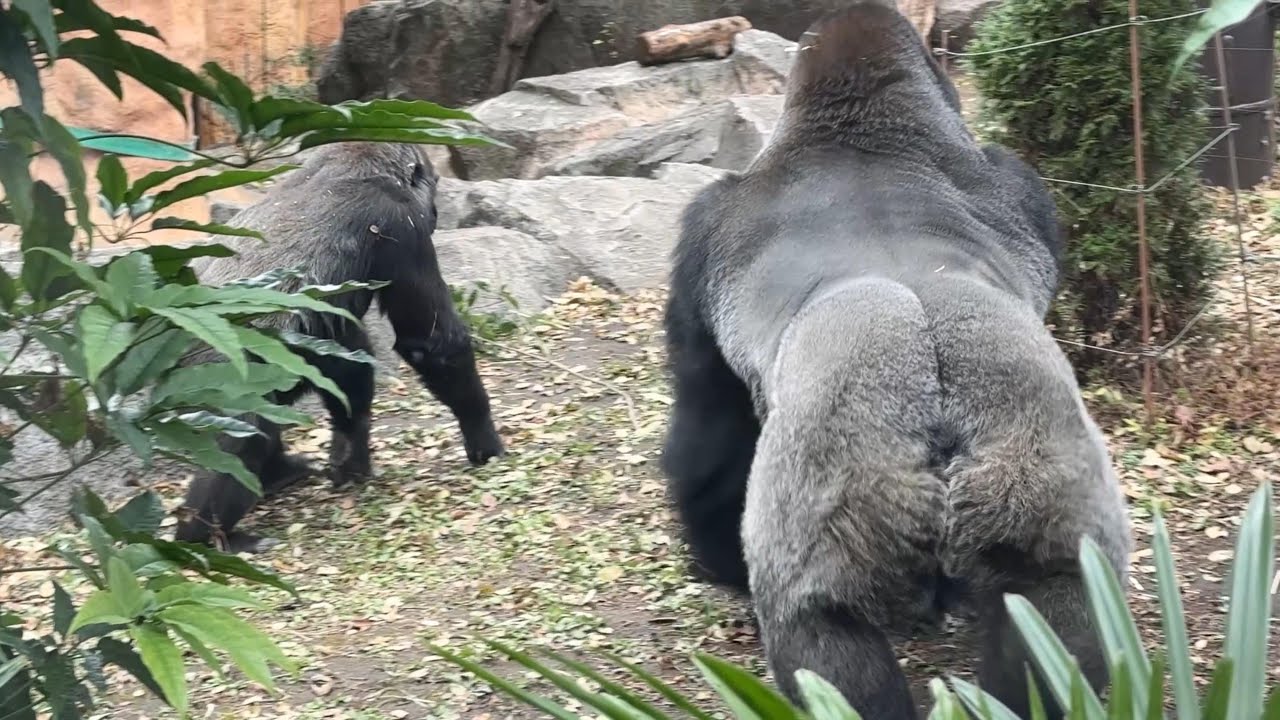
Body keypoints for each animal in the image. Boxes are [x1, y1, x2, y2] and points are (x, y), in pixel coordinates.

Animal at [173, 142, 505, 554]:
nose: (435, 214)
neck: (359, 166)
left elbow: (346, 358)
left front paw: (349, 453)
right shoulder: (399, 223)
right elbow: (432, 344)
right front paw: (483, 437)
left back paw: (278, 474)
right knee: (244, 437)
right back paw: (204, 538)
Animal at [659, 3, 1131, 718]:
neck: (865, 136)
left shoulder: (703, 226)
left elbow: (709, 423)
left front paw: (716, 560)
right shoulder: (1024, 185)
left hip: (845, 488)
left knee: (821, 635)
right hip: (1040, 487)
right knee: (1058, 610)